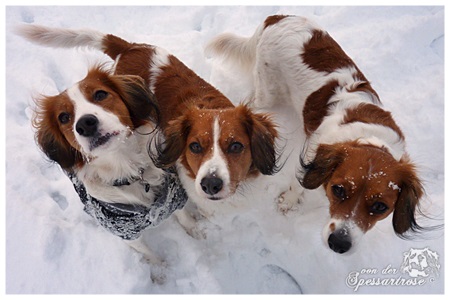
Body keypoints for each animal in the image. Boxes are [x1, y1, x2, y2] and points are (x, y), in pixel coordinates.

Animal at [207, 14, 428, 253]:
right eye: (339, 190)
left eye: (380, 206)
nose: (339, 243)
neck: (369, 137)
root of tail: (277, 17)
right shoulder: (310, 156)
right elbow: (298, 185)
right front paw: (288, 201)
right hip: (268, 90)